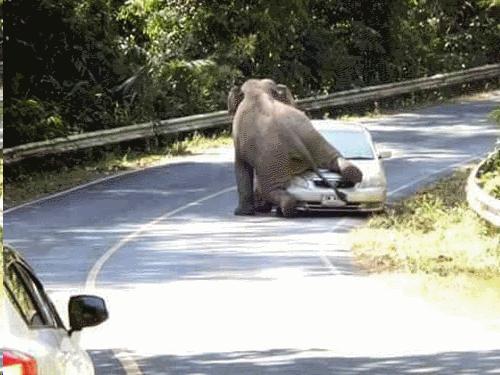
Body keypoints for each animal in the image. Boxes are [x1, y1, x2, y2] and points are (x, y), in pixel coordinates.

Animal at [228, 78, 364, 217]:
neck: (258, 91)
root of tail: (291, 135)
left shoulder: (239, 139)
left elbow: (241, 167)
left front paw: (241, 213)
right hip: (312, 137)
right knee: (336, 159)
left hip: (272, 156)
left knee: (270, 190)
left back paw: (286, 211)